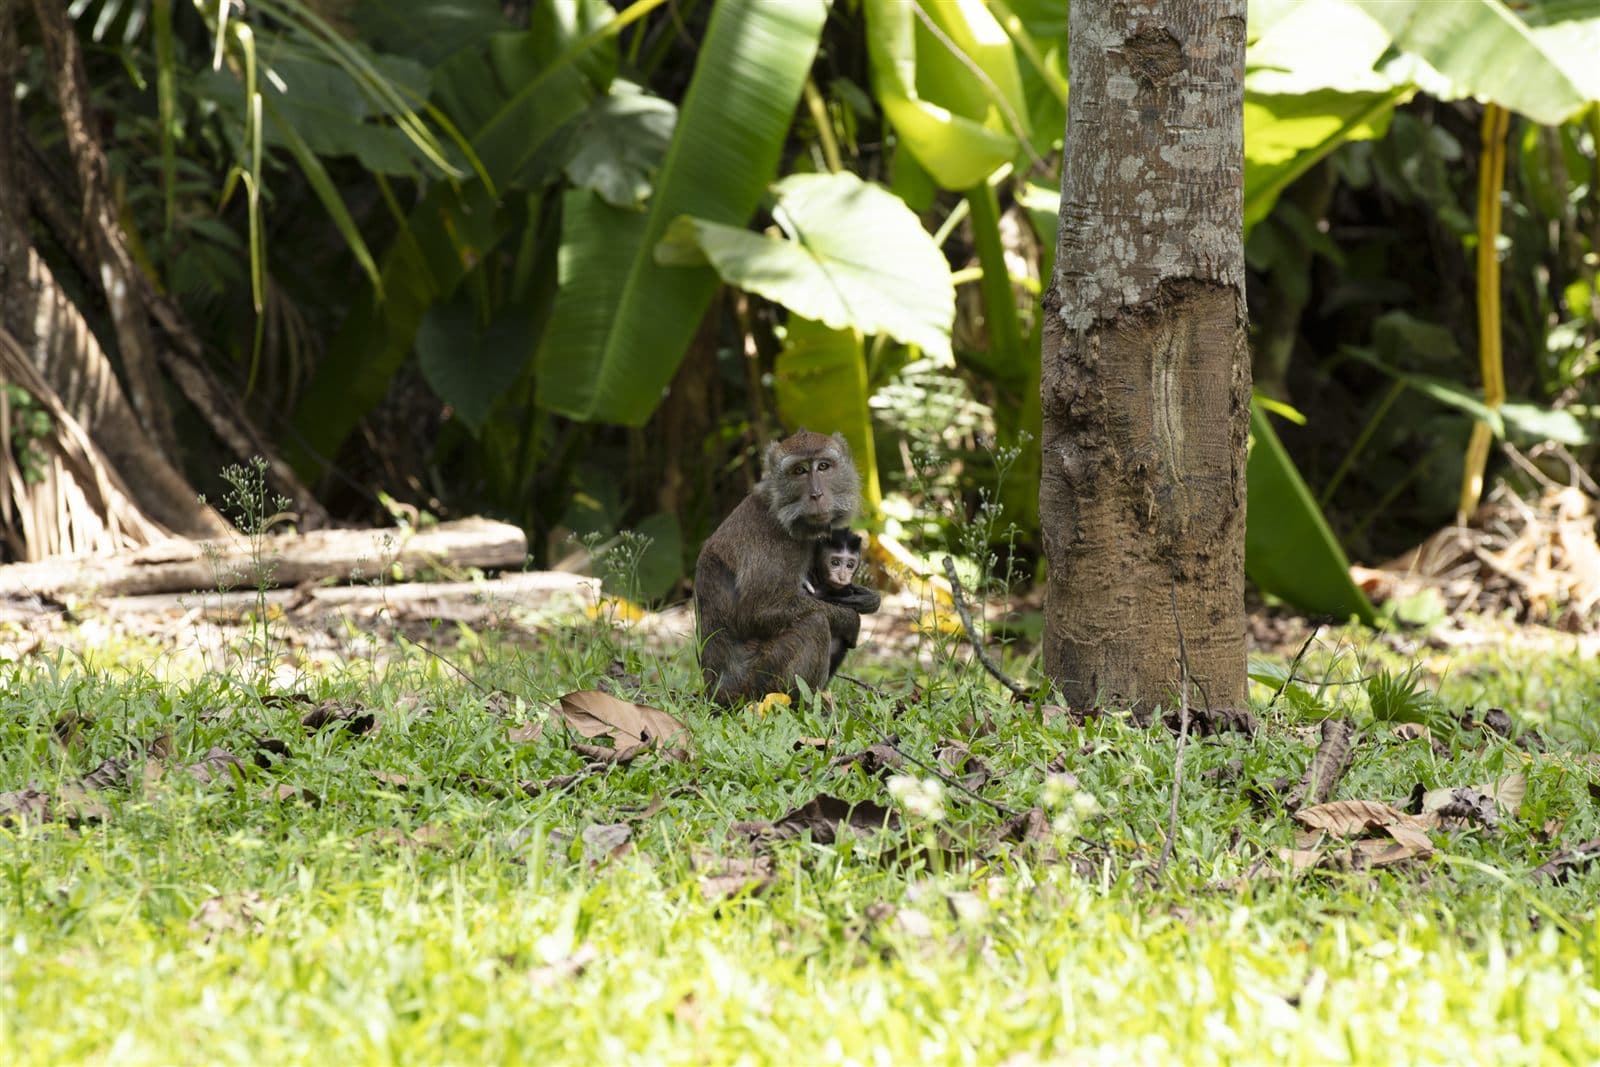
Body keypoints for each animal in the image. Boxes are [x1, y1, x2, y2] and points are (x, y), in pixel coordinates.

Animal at [694, 430, 870, 707]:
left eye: (823, 466)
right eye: (799, 471)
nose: (816, 494)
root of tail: (714, 689)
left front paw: (867, 598)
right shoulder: (772, 543)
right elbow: (757, 612)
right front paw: (851, 619)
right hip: (752, 684)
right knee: (816, 623)